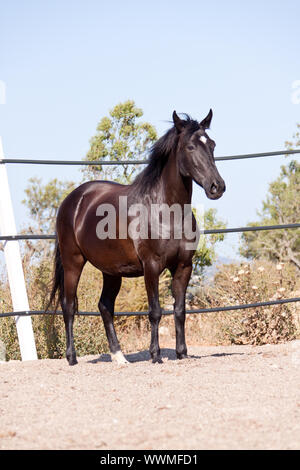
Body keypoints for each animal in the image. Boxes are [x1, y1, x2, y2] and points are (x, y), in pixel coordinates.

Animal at [48, 110, 225, 364]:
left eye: (212, 145)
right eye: (190, 147)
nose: (217, 187)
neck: (166, 212)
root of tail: (72, 200)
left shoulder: (184, 266)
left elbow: (180, 310)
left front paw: (182, 353)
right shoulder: (151, 266)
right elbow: (155, 311)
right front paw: (156, 355)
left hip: (111, 271)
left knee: (105, 306)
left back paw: (119, 357)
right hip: (73, 262)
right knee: (69, 306)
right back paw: (72, 358)